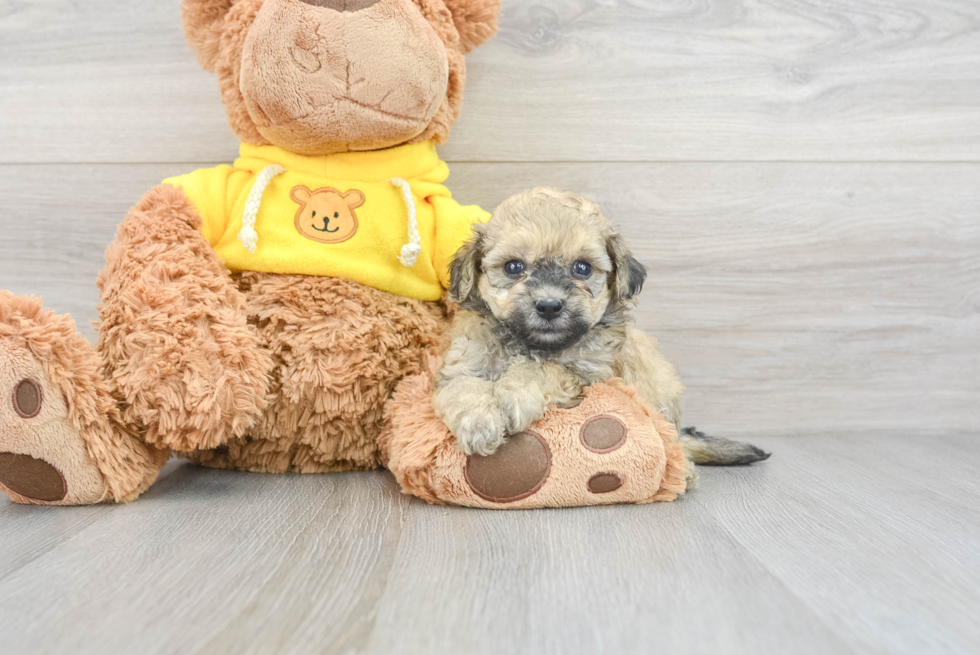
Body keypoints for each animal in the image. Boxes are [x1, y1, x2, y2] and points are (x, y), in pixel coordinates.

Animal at [432, 187, 768, 474]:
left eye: (582, 268)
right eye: (513, 267)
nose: (549, 305)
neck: (533, 343)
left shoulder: (588, 374)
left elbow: (540, 370)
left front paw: (512, 395)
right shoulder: (464, 363)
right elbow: (462, 387)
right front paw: (478, 422)